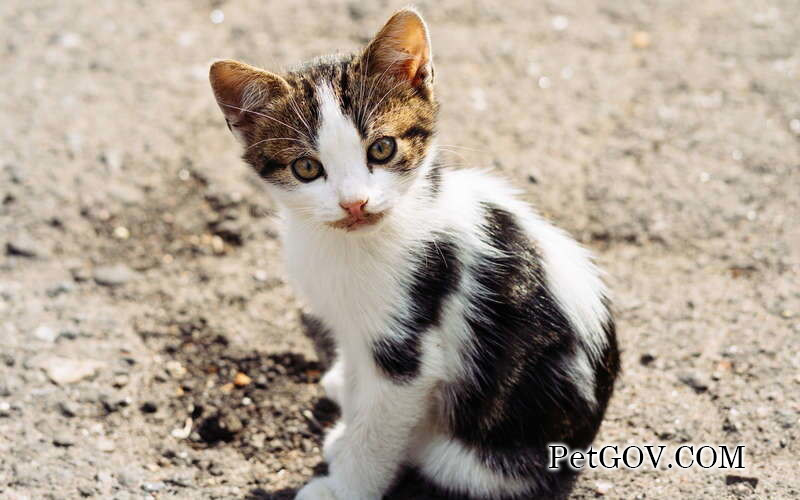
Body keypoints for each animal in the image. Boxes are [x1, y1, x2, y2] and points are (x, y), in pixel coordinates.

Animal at [208, 7, 620, 500]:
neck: (351, 245)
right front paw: (346, 413)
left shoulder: (410, 348)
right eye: (306, 167)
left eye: (382, 148)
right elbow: (359, 376)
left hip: (472, 455)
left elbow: (380, 427)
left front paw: (344, 485)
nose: (355, 203)